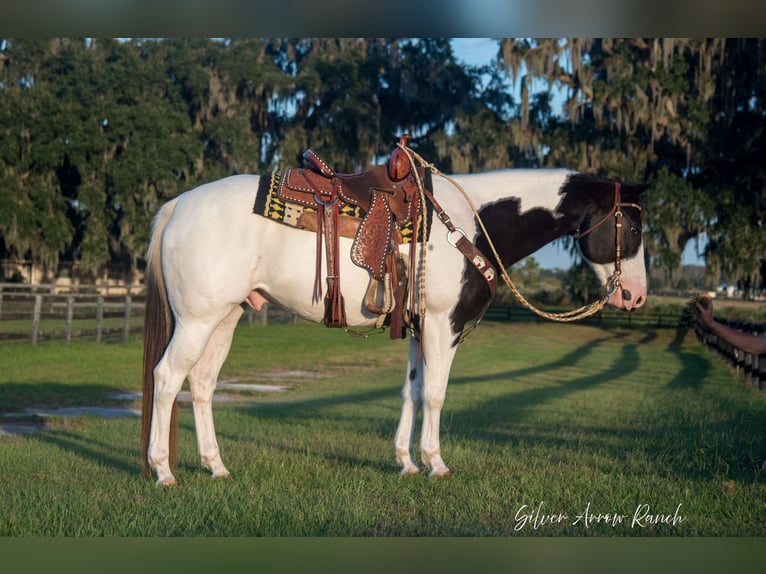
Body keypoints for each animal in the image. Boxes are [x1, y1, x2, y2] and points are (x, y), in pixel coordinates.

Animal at [140, 150, 648, 486]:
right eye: (633, 225)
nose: (636, 296)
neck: (469, 224)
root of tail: (179, 205)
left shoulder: (419, 329)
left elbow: (412, 391)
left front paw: (405, 461)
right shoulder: (444, 325)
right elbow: (437, 394)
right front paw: (435, 462)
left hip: (225, 319)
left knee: (201, 383)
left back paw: (216, 466)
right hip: (197, 322)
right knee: (166, 378)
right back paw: (163, 471)